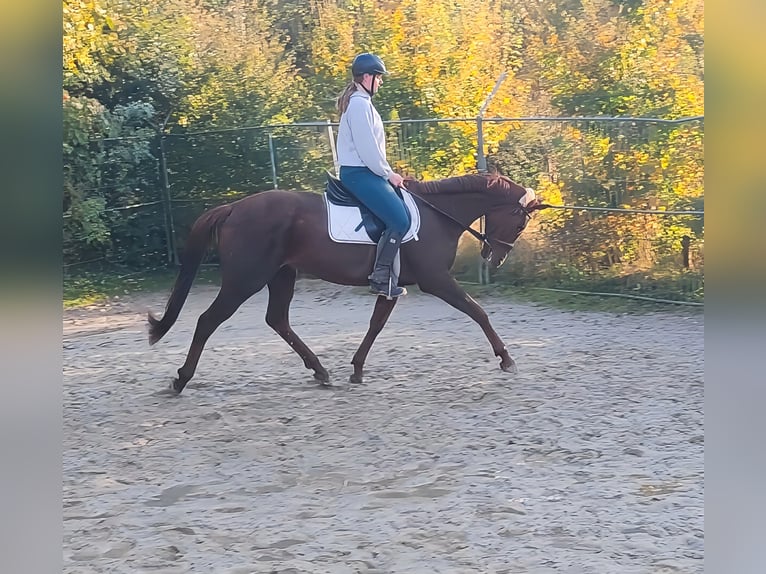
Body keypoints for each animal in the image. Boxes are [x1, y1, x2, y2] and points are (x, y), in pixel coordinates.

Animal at [147, 173, 548, 394]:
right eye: (519, 223)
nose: (495, 258)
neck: (437, 216)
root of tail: (233, 207)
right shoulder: (436, 280)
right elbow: (477, 311)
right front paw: (506, 359)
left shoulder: (393, 285)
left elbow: (375, 325)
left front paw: (356, 369)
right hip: (245, 279)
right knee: (208, 321)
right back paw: (181, 379)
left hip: (281, 275)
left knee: (277, 320)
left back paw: (321, 372)